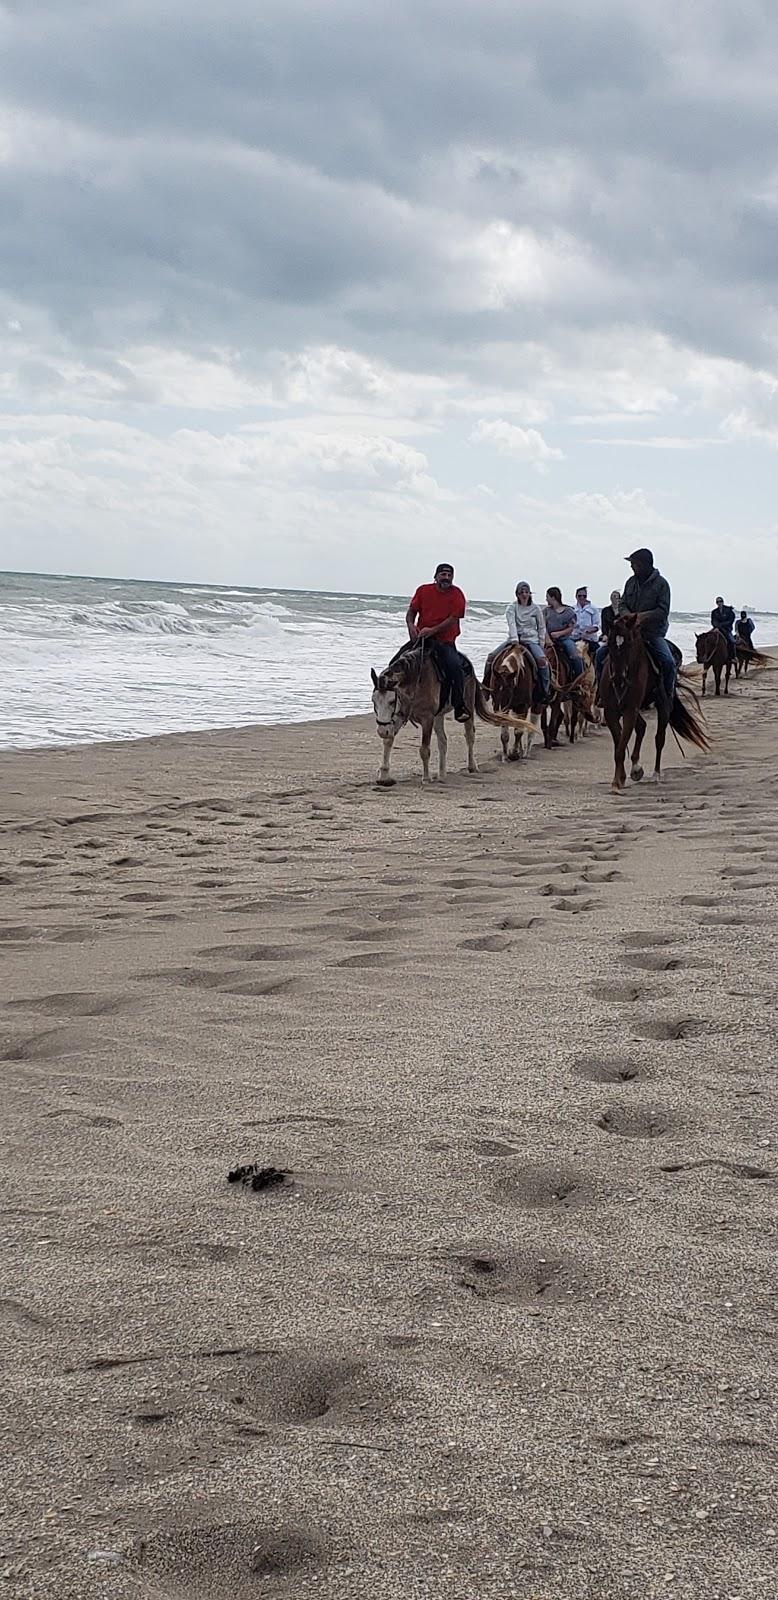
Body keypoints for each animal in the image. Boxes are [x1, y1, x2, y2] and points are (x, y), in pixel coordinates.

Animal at [372, 640, 534, 784]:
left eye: (391, 701)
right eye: (374, 702)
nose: (381, 731)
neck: (415, 679)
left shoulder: (427, 719)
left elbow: (424, 749)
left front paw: (426, 778)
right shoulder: (399, 716)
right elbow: (388, 740)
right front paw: (383, 776)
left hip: (467, 707)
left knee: (470, 736)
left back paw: (472, 766)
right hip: (439, 716)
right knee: (443, 740)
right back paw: (442, 774)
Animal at [601, 611, 710, 793]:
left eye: (629, 642)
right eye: (609, 642)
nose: (618, 678)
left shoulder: (630, 710)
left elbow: (621, 746)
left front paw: (617, 782)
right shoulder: (611, 711)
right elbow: (619, 744)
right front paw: (621, 778)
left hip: (663, 705)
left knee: (659, 738)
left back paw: (655, 774)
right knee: (642, 726)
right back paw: (636, 768)